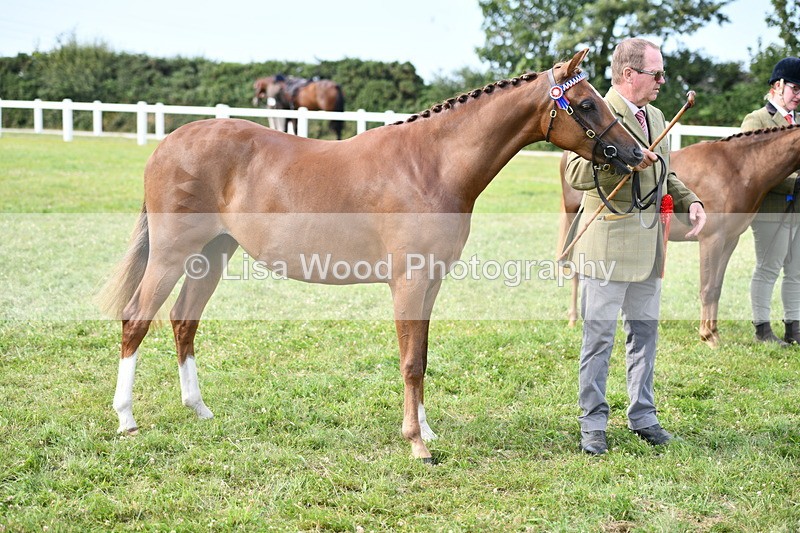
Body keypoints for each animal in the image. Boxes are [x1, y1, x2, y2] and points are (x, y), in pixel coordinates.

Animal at [100, 49, 642, 462]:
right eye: (586, 103)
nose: (637, 155)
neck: (431, 165)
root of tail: (168, 143)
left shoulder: (431, 283)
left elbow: (421, 355)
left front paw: (426, 429)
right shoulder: (409, 280)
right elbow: (410, 362)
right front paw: (417, 445)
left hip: (212, 255)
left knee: (183, 321)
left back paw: (198, 409)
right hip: (172, 254)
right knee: (136, 319)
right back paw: (126, 418)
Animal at [558, 124, 800, 347]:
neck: (737, 168)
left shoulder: (730, 241)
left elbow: (717, 287)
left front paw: (714, 332)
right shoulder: (711, 239)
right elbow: (707, 288)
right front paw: (707, 336)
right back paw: (573, 319)